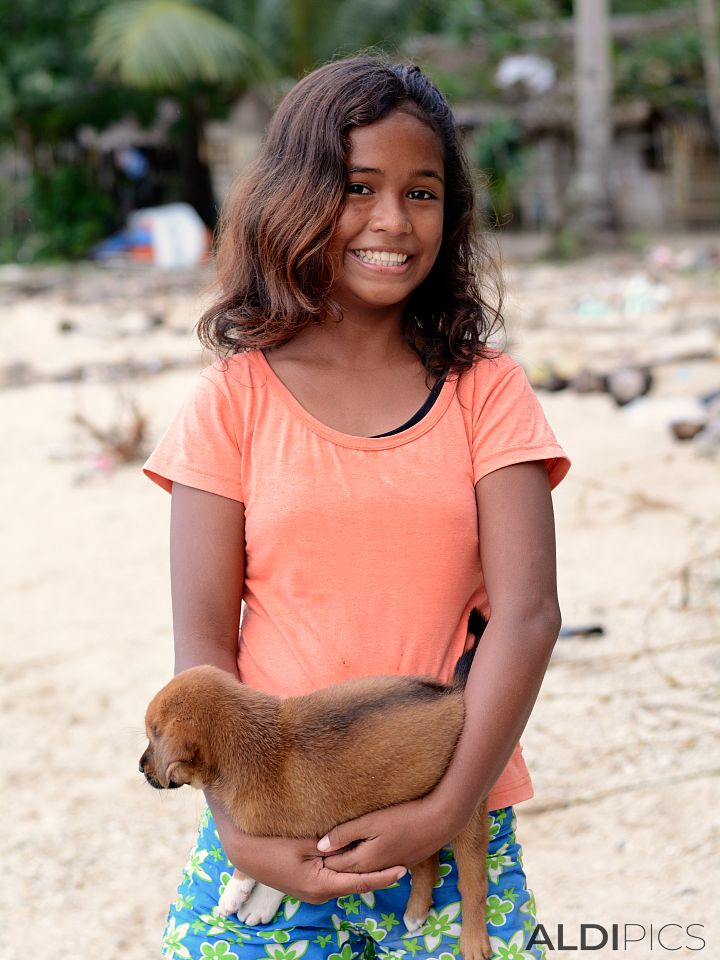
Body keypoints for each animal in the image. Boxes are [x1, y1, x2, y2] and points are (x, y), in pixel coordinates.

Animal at [139, 612, 492, 960]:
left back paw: (474, 942)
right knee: (427, 861)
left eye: (153, 739)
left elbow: (266, 873)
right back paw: (416, 911)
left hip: (465, 819)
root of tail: (454, 696)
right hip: (413, 815)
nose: (140, 767)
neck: (255, 743)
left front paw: (242, 896)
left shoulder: (313, 831)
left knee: (473, 885)